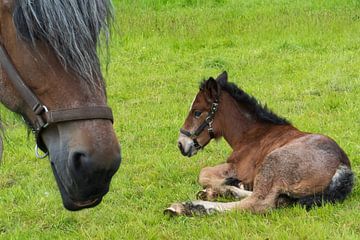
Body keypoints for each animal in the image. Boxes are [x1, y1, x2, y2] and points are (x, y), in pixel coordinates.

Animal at [167, 71, 354, 216]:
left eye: (197, 112)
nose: (181, 144)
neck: (251, 134)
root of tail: (342, 166)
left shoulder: (239, 167)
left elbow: (203, 173)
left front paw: (228, 182)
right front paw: (230, 184)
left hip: (273, 161)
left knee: (257, 202)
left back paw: (186, 207)